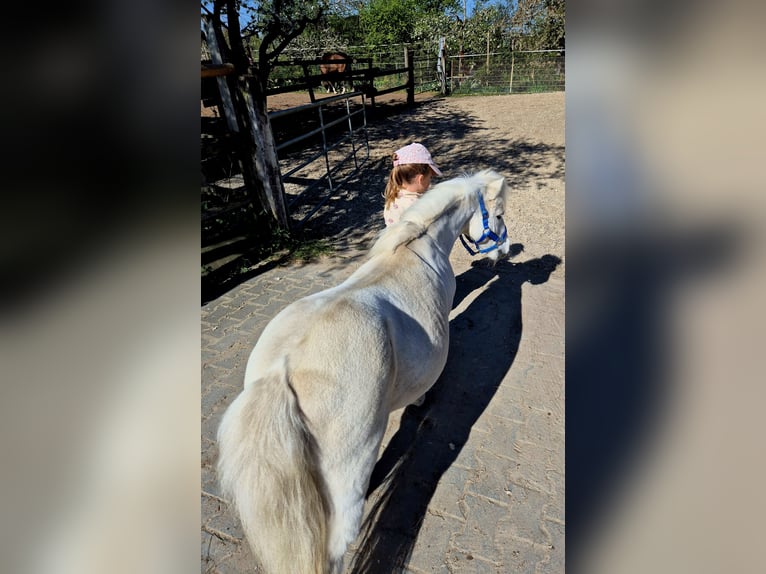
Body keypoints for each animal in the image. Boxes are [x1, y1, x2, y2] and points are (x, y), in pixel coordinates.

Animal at [216, 170, 511, 574]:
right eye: (497, 215)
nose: (504, 252)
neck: (418, 246)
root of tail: (282, 371)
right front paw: (420, 398)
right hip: (350, 469)